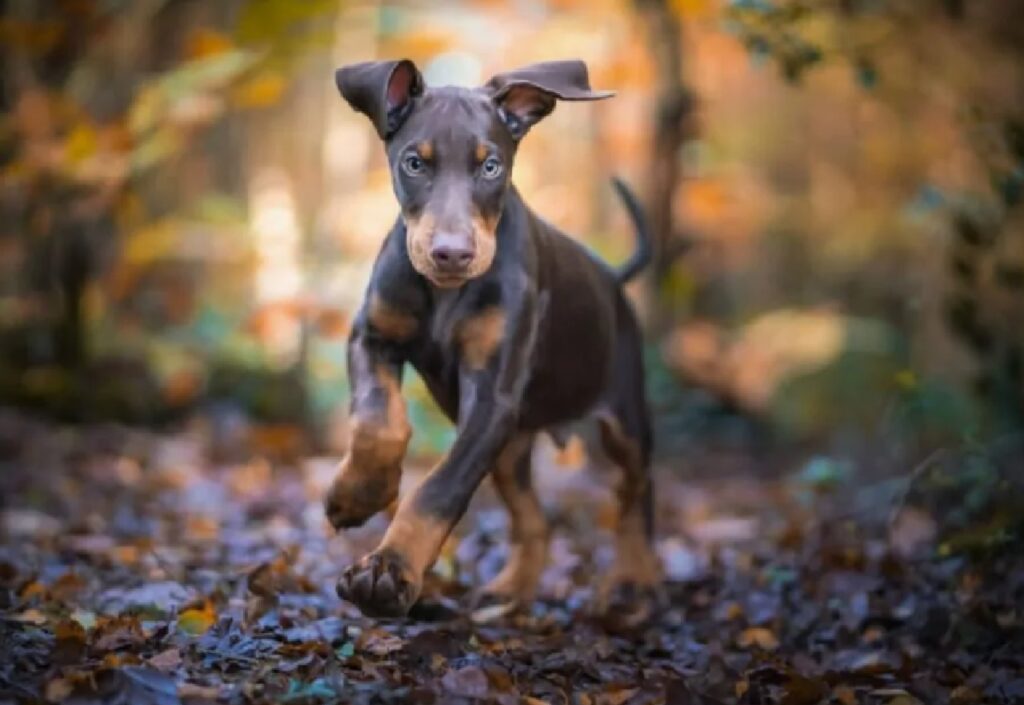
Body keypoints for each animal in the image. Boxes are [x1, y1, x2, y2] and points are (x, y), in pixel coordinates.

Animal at [327, 59, 663, 623]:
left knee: (634, 495)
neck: (445, 295)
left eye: (491, 167)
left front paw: (388, 571)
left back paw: (633, 579)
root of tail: (614, 279)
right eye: (414, 163)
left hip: (624, 420)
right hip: (511, 446)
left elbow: (440, 490)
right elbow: (378, 420)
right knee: (535, 521)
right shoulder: (372, 337)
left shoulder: (492, 400)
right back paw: (510, 590)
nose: (452, 254)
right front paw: (358, 494)